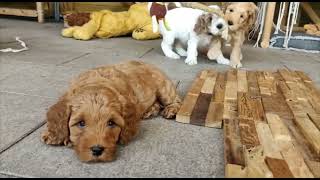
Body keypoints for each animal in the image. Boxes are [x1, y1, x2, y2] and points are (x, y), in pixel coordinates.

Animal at [40, 61, 181, 162]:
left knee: (176, 100)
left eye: (111, 123)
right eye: (81, 123)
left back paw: (171, 109)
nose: (97, 150)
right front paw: (52, 134)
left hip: (164, 88)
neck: (97, 83)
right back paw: (150, 111)